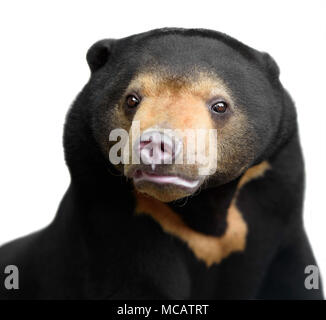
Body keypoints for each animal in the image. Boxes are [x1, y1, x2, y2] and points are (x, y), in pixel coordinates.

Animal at [0, 28, 324, 300]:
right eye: (132, 99)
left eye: (220, 105)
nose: (157, 145)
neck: (204, 210)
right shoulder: (114, 225)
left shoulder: (272, 212)